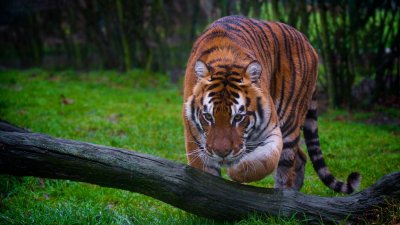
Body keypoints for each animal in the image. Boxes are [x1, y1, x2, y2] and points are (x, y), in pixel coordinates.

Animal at [183, 15, 360, 193]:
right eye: (208, 116)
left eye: (239, 117)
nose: (222, 153)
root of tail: (308, 42)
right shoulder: (196, 145)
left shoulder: (272, 131)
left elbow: (265, 161)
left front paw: (236, 171)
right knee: (301, 158)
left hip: (290, 120)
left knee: (287, 165)